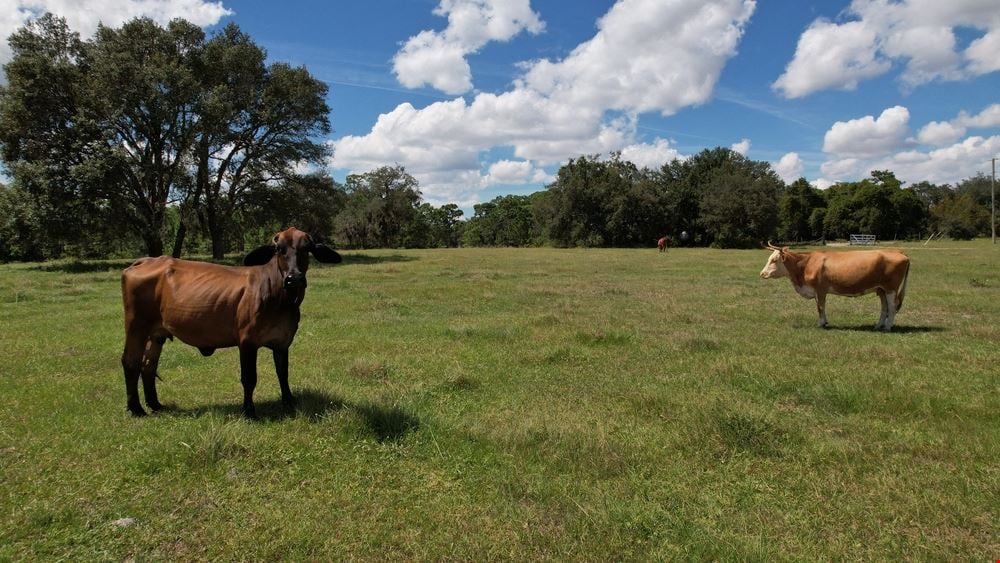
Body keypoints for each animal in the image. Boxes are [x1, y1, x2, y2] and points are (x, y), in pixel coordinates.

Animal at [118, 227, 340, 416]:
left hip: (156, 333)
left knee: (148, 365)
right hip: (136, 326)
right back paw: (136, 408)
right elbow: (249, 378)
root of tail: (145, 261)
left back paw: (156, 405)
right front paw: (249, 411)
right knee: (131, 362)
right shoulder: (247, 341)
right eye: (279, 249)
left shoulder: (282, 341)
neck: (282, 301)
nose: (294, 278)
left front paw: (289, 401)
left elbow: (283, 373)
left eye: (306, 248)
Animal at [760, 242, 912, 330]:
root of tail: (898, 251)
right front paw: (824, 322)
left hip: (890, 288)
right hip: (881, 289)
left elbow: (820, 307)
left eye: (774, 260)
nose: (762, 274)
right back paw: (878, 325)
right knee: (884, 306)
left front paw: (821, 323)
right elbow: (820, 307)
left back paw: (887, 327)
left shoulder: (820, 290)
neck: (806, 264)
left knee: (892, 306)